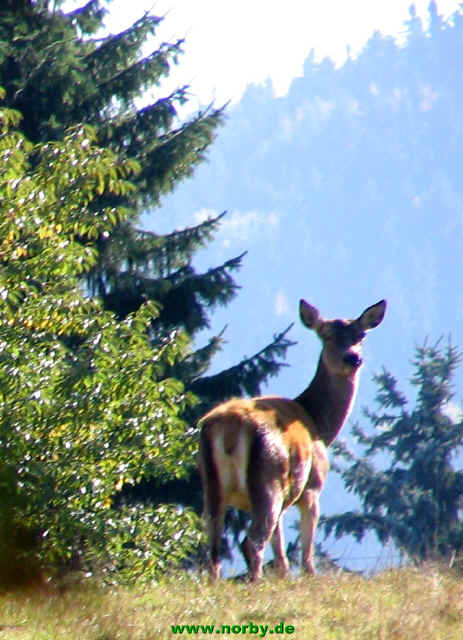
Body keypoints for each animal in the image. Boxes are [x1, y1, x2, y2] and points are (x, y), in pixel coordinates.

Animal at [198, 298, 386, 581]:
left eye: (361, 336)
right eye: (326, 335)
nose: (353, 357)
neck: (319, 424)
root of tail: (230, 428)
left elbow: (280, 549)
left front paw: (283, 576)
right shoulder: (312, 487)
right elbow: (306, 553)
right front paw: (308, 577)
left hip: (212, 485)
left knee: (214, 547)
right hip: (268, 478)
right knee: (251, 542)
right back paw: (256, 582)